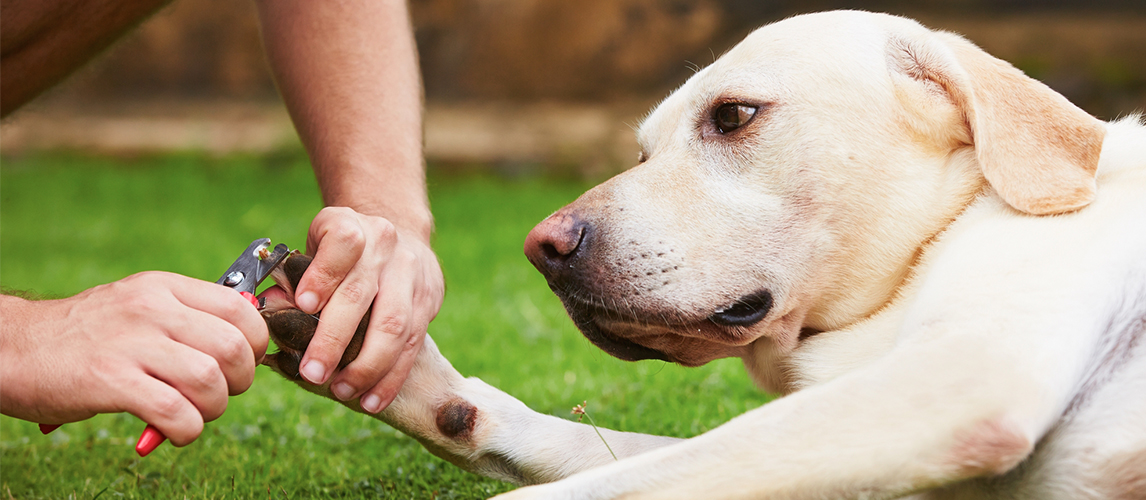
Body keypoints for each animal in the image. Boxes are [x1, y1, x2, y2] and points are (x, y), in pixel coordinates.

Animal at [260, 8, 1146, 499]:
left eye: (734, 116)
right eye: (643, 152)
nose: (543, 248)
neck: (936, 238)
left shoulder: (967, 378)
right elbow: (591, 451)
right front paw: (408, 371)